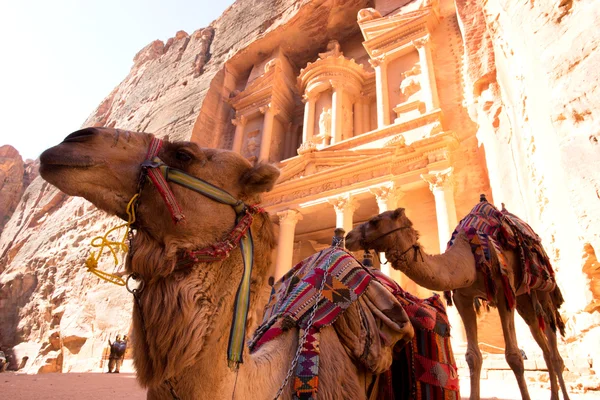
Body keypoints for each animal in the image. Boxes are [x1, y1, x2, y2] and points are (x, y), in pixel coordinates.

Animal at [344, 206, 568, 400]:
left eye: (375, 221)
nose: (348, 237)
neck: (468, 256)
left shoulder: (503, 291)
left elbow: (514, 356)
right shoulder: (463, 298)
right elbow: (473, 357)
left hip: (542, 289)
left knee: (551, 339)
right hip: (523, 297)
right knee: (541, 340)